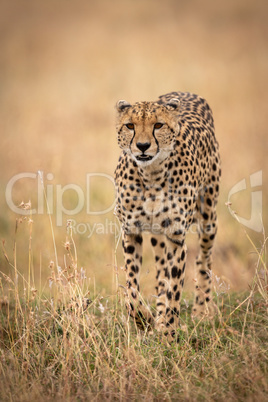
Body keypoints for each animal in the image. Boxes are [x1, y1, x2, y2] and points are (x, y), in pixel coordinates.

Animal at [114, 92, 221, 340]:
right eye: (130, 126)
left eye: (158, 125)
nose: (143, 146)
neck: (151, 174)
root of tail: (186, 93)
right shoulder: (130, 232)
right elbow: (131, 289)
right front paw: (145, 320)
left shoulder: (176, 237)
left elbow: (175, 288)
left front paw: (170, 333)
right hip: (157, 235)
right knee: (161, 271)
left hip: (209, 215)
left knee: (203, 259)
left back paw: (201, 311)